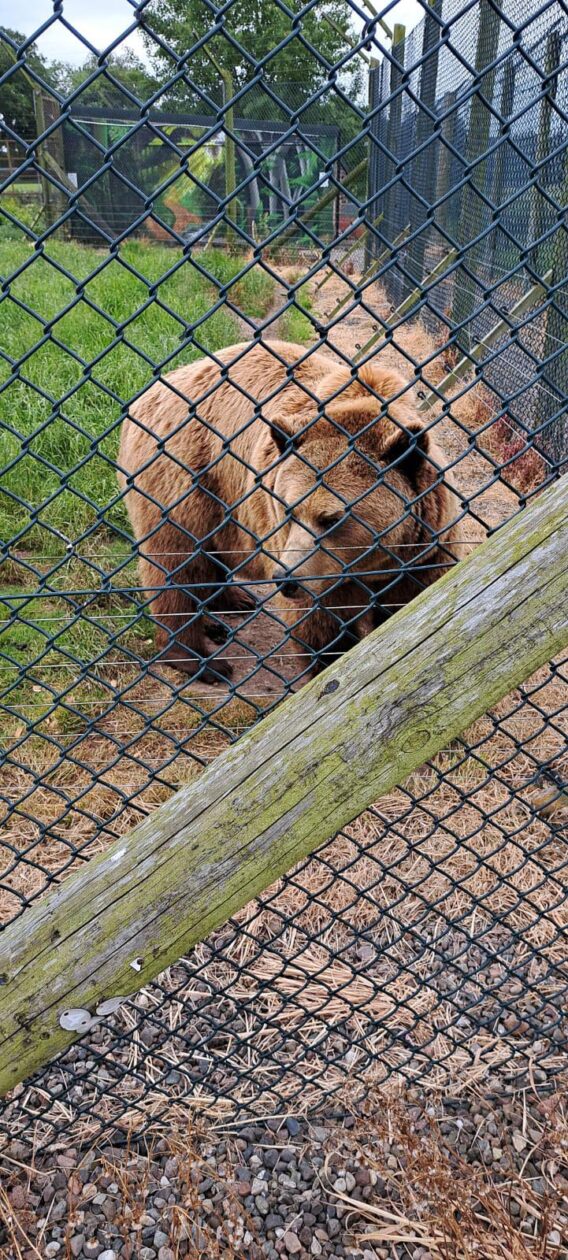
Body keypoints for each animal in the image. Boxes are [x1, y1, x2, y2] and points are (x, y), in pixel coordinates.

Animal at [117, 340, 460, 685]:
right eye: (288, 509)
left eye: (331, 518)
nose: (286, 579)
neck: (372, 566)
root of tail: (152, 390)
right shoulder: (317, 571)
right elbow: (320, 627)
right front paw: (331, 665)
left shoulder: (424, 550)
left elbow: (412, 603)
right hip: (184, 474)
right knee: (178, 561)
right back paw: (199, 658)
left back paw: (232, 602)